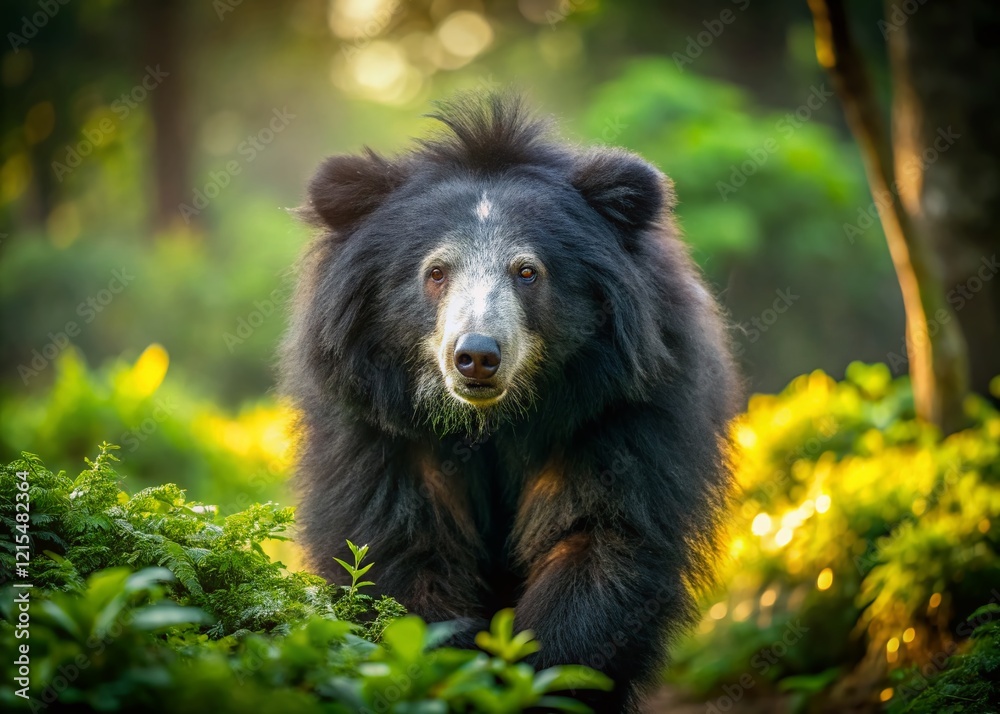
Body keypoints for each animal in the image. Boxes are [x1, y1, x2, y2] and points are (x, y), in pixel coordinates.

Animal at [280, 94, 736, 712]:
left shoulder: (616, 412)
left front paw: (540, 680)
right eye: (436, 272)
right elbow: (400, 546)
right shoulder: (380, 426)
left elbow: (599, 537)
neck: (490, 421)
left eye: (526, 271)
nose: (476, 356)